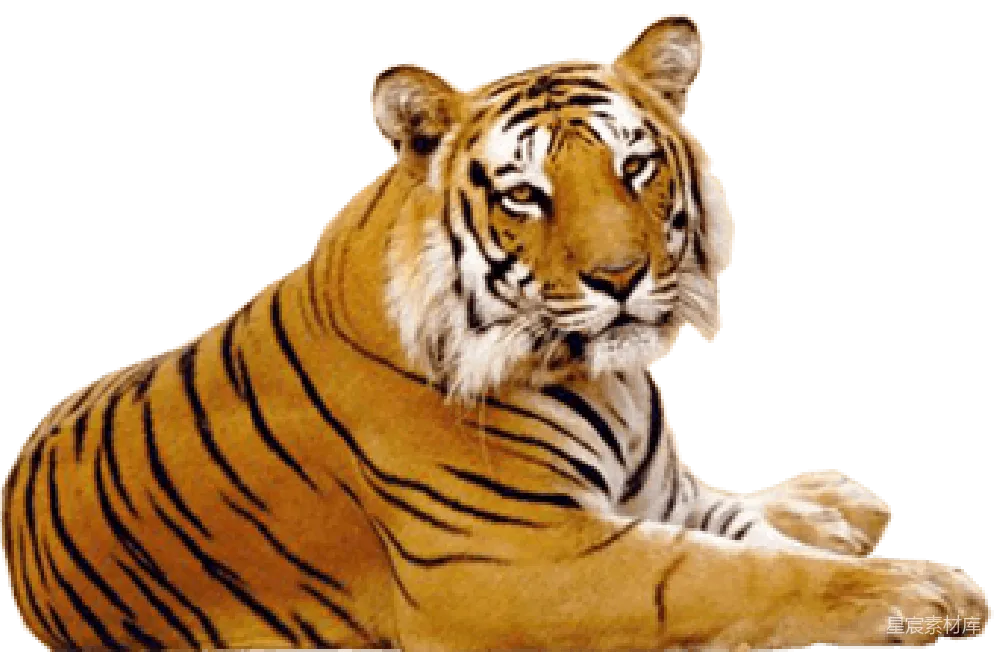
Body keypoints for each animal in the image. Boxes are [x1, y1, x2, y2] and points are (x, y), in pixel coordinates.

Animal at [1, 14, 991, 651]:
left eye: (635, 167)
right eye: (525, 194)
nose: (621, 279)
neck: (610, 383)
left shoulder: (647, 502)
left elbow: (750, 533)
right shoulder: (516, 559)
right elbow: (736, 575)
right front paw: (927, 589)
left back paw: (839, 501)